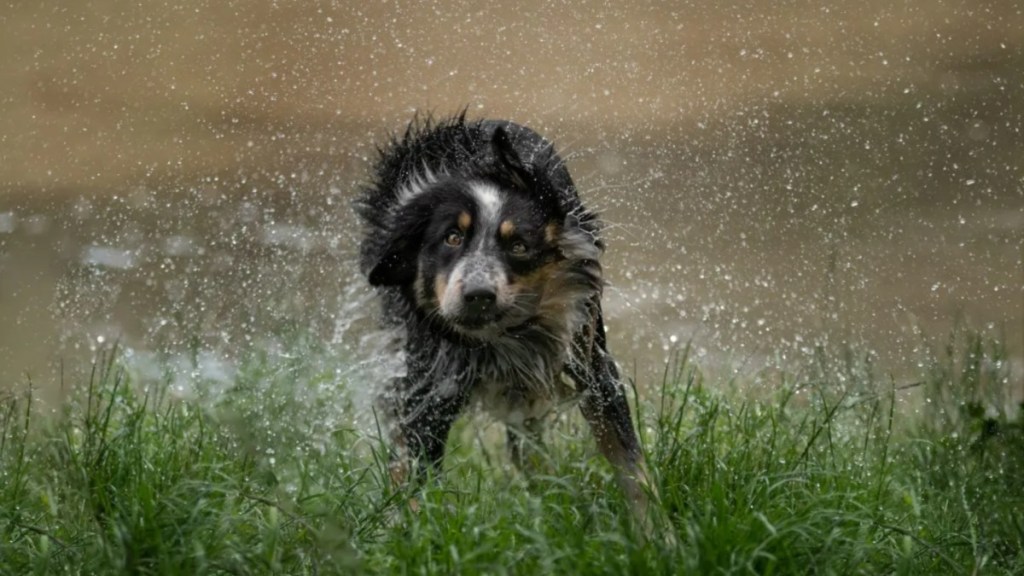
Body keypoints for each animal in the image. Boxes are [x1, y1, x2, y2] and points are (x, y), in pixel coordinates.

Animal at [356, 112, 651, 524]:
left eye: (519, 246)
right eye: (451, 238)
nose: (478, 295)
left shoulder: (590, 364)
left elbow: (631, 465)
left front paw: (656, 532)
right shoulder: (431, 386)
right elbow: (416, 476)